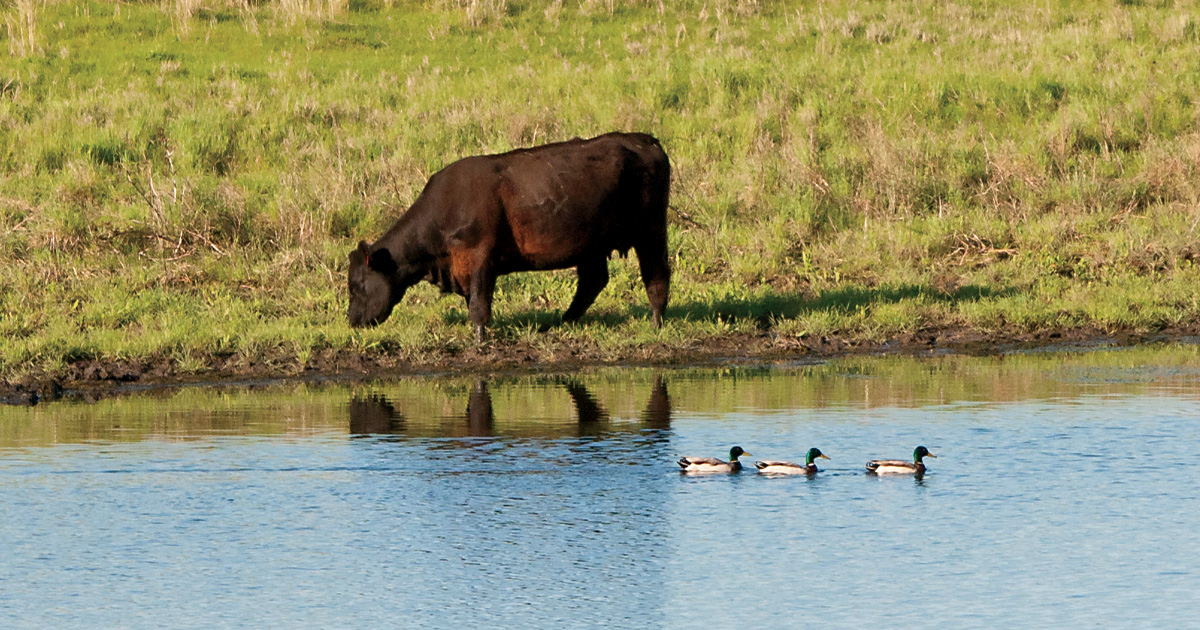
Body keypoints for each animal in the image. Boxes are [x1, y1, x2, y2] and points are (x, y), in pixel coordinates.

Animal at [347, 132, 671, 343]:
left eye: (356, 285)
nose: (352, 320)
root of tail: (645, 139)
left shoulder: (481, 258)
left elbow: (479, 305)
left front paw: (479, 340)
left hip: (651, 232)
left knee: (656, 275)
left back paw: (656, 324)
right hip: (592, 245)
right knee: (594, 280)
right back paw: (561, 322)